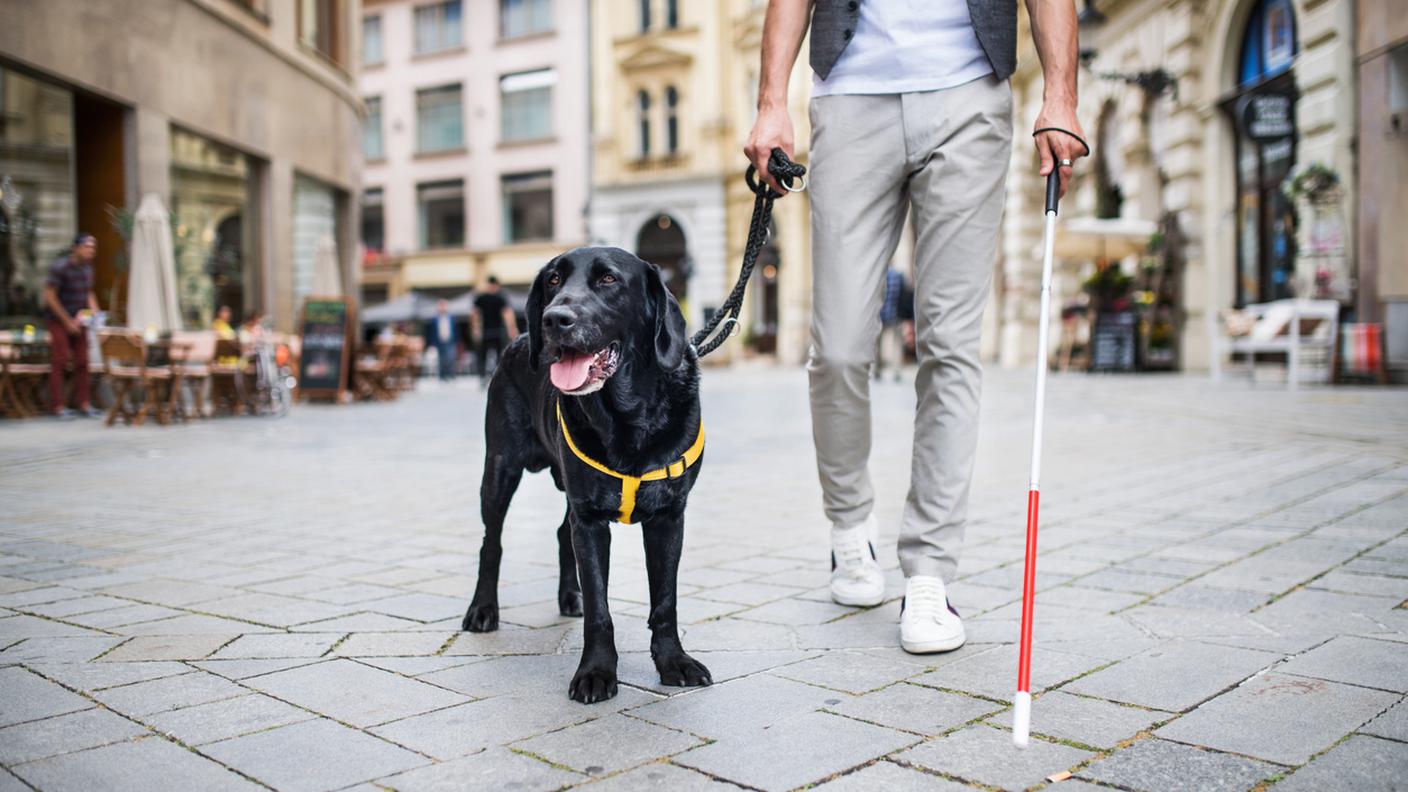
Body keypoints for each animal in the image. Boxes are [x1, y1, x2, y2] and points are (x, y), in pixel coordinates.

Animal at [461, 243, 709, 698]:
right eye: (553, 280)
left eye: (609, 279)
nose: (554, 319)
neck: (628, 415)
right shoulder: (591, 521)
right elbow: (599, 608)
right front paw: (595, 672)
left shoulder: (668, 517)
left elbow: (665, 600)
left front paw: (674, 662)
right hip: (500, 469)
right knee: (492, 543)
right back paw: (483, 609)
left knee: (562, 534)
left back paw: (568, 596)